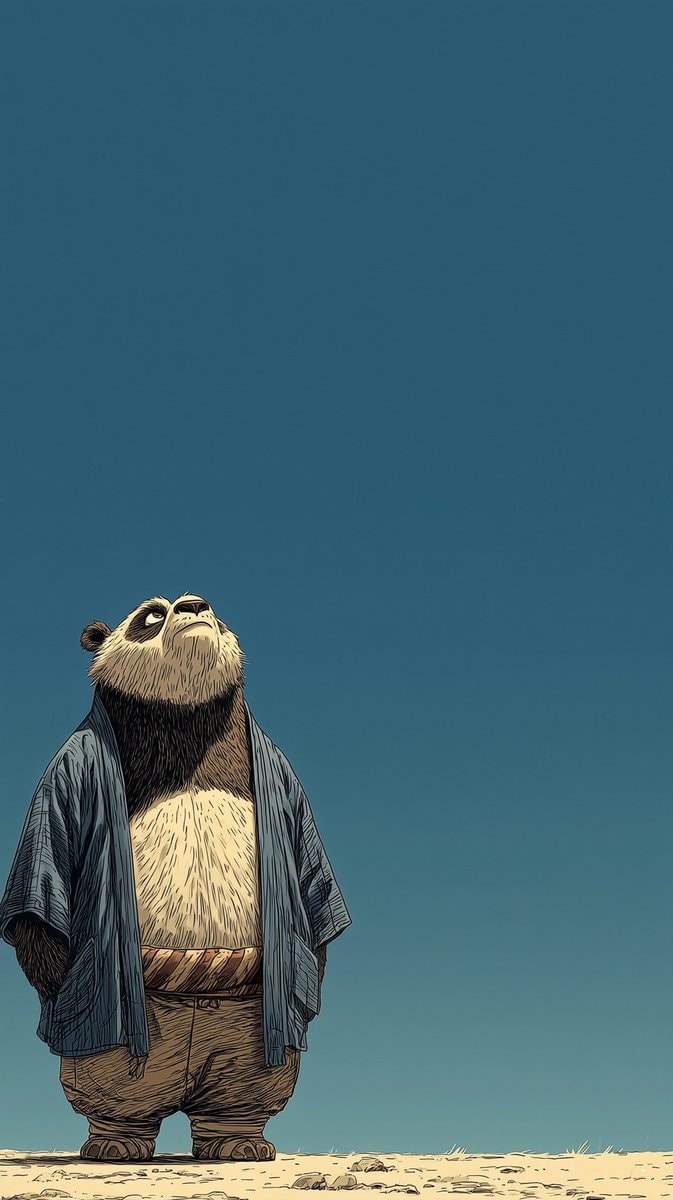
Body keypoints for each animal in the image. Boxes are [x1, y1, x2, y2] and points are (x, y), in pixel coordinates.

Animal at [7, 593, 331, 1163]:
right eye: (152, 615)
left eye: (214, 611)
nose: (193, 606)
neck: (184, 719)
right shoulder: (71, 767)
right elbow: (40, 885)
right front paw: (50, 975)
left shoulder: (283, 781)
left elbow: (314, 887)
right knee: (111, 1081)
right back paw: (114, 1143)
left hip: (249, 1023)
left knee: (251, 1080)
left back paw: (237, 1141)